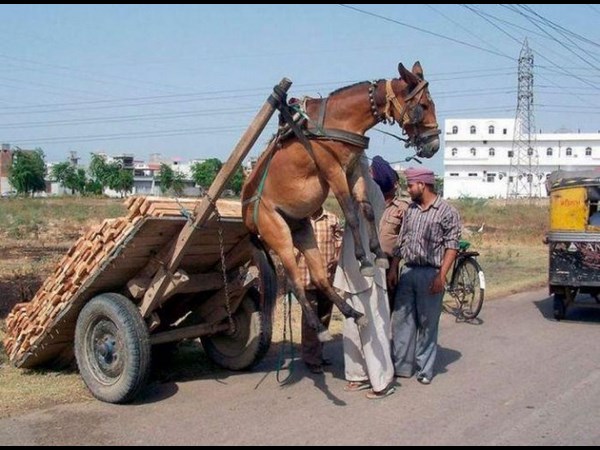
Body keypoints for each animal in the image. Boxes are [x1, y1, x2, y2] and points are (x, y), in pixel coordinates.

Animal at [240, 60, 440, 342]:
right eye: (422, 106)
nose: (434, 145)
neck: (339, 121)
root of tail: (247, 217)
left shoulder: (354, 169)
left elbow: (367, 210)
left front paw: (378, 254)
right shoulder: (333, 171)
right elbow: (352, 215)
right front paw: (364, 261)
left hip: (301, 231)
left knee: (320, 277)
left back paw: (353, 314)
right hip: (278, 235)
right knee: (294, 282)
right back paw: (320, 327)